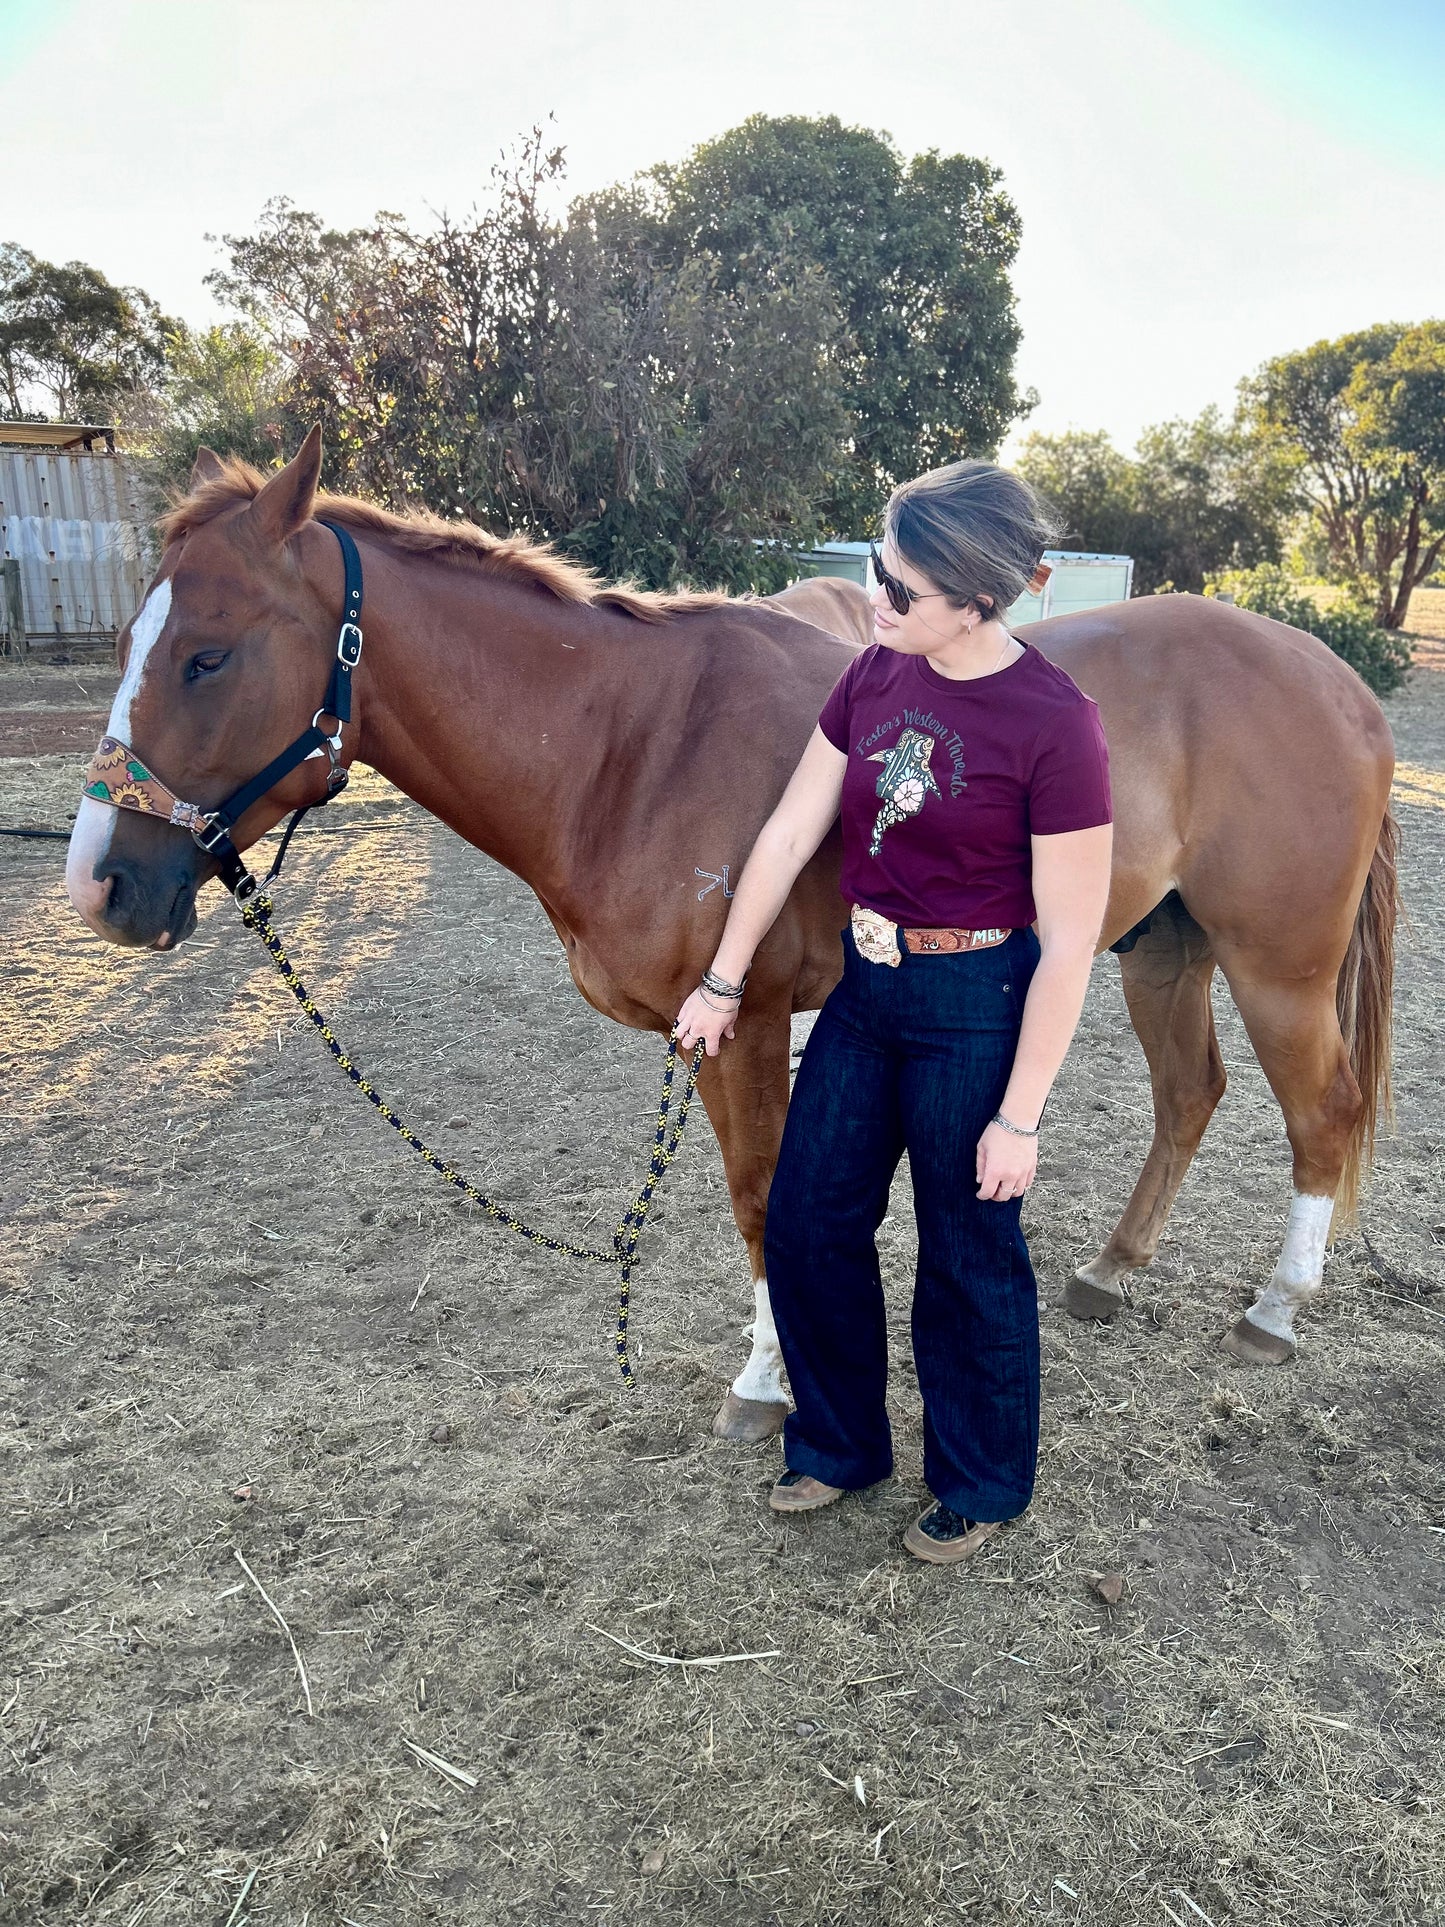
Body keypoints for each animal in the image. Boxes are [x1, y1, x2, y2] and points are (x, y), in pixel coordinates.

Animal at [67, 425, 1402, 1449]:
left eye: (207, 655)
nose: (100, 886)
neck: (629, 747)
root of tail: (1333, 678)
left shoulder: (749, 1023)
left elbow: (761, 1200)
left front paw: (768, 1385)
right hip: (1162, 952)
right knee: (1190, 1095)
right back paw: (1113, 1270)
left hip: (1277, 967)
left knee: (1320, 1111)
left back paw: (1275, 1309)